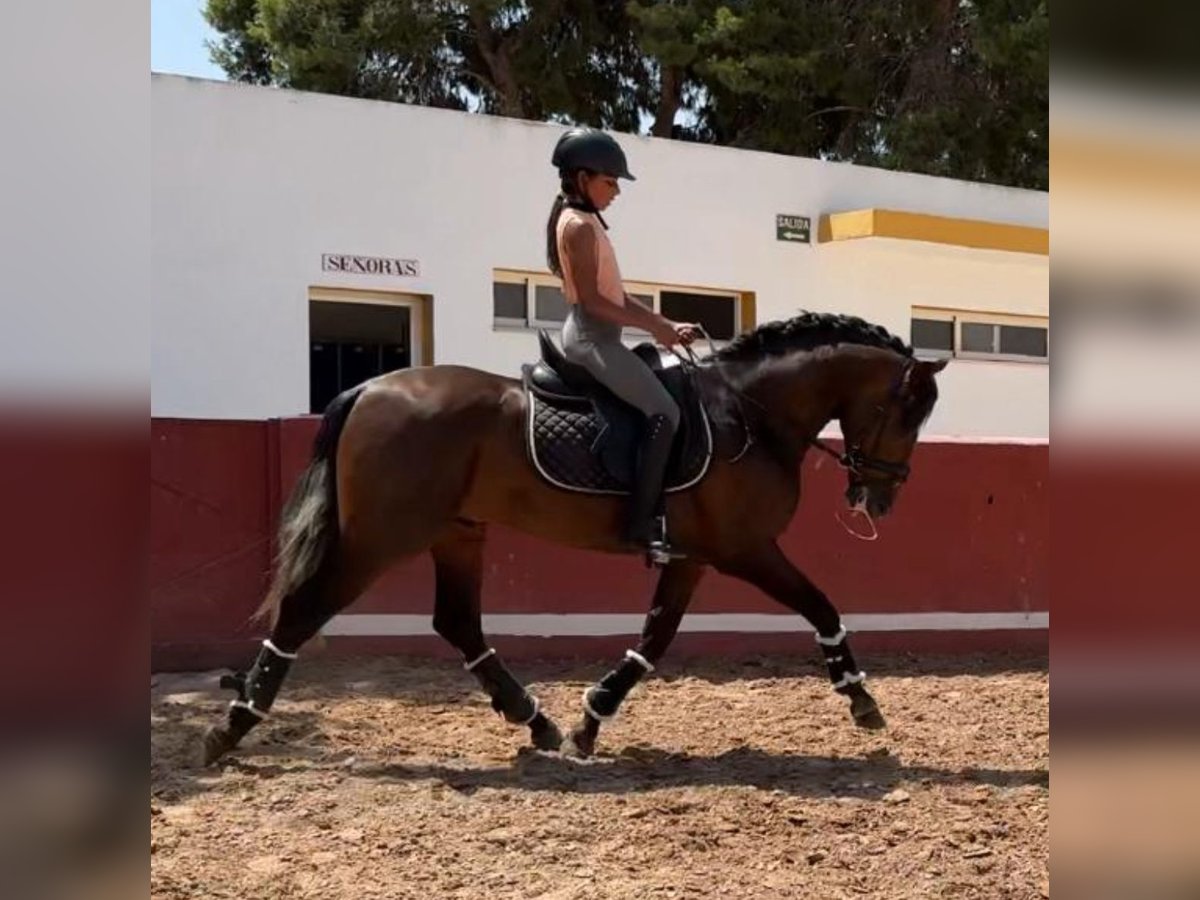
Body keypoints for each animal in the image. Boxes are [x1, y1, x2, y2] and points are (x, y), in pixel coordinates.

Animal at [201, 314, 945, 763]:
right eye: (905, 411)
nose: (879, 498)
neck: (751, 416)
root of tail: (369, 389)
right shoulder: (746, 550)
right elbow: (821, 606)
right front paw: (862, 699)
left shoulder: (693, 557)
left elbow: (653, 640)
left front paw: (591, 719)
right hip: (379, 539)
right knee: (303, 611)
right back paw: (232, 725)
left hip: (456, 532)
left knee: (458, 623)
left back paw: (536, 720)